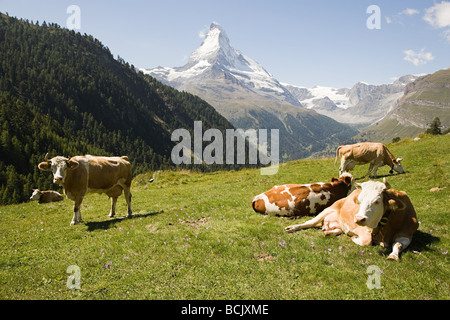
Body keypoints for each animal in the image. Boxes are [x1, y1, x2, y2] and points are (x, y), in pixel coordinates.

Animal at [284, 179, 418, 262]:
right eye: (359, 200)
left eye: (377, 201)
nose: (358, 218)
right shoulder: (364, 230)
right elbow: (367, 241)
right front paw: (354, 238)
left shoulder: (407, 233)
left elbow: (398, 244)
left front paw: (393, 255)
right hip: (328, 209)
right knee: (309, 222)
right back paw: (292, 228)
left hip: (337, 224)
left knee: (336, 230)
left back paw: (328, 232)